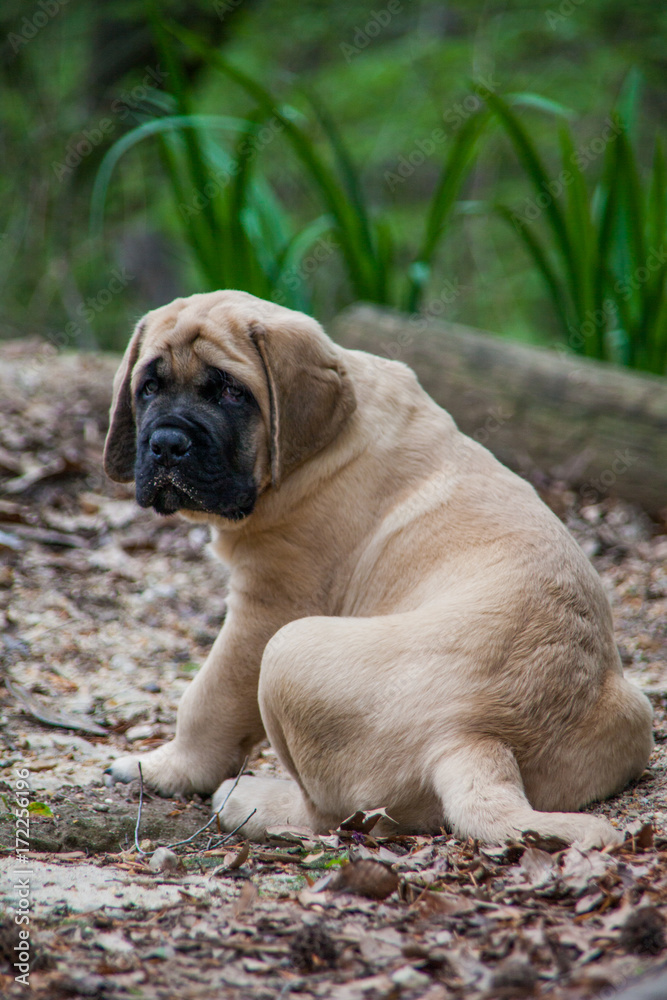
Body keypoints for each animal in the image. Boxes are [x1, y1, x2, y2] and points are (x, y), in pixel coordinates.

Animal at [104, 290, 652, 844]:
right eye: (148, 388)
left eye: (232, 394)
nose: (167, 444)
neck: (318, 449)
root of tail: (475, 736)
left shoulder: (266, 611)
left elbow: (207, 700)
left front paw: (168, 768)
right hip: (637, 715)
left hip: (288, 647)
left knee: (325, 812)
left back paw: (247, 800)